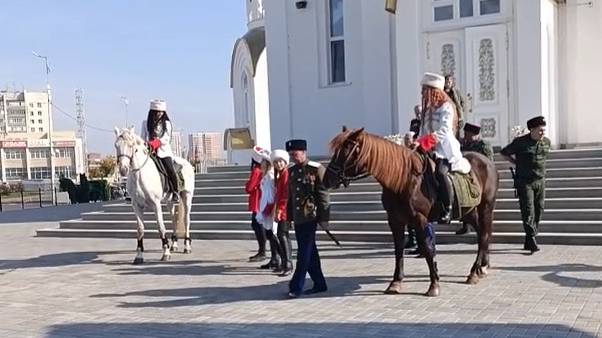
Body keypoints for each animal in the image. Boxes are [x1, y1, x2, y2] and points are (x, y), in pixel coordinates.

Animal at [113, 127, 195, 264]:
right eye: (116, 145)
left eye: (131, 146)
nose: (123, 169)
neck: (139, 175)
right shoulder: (136, 205)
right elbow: (140, 229)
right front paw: (139, 256)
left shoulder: (156, 204)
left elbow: (161, 227)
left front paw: (165, 253)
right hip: (169, 201)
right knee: (174, 219)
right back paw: (174, 244)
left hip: (187, 196)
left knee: (186, 220)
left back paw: (187, 246)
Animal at [324, 128, 496, 298]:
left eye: (345, 151)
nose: (327, 179)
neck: (402, 180)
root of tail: (487, 161)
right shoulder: (395, 220)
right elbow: (399, 249)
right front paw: (396, 282)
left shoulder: (420, 219)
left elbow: (427, 248)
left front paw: (434, 284)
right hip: (469, 212)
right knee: (482, 234)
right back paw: (482, 267)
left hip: (486, 207)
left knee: (484, 235)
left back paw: (474, 272)